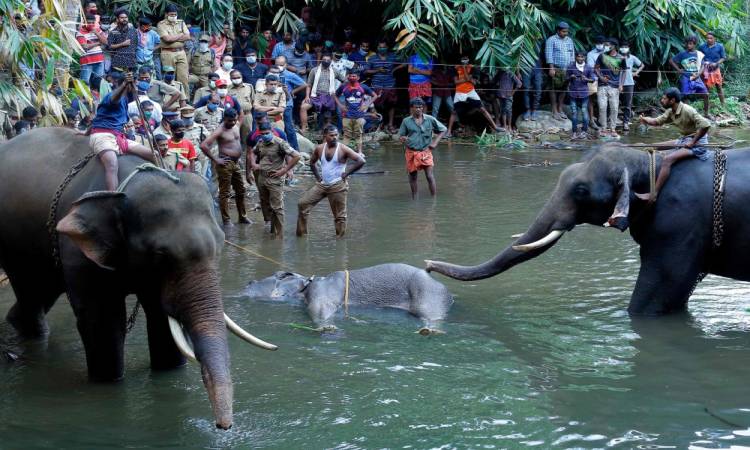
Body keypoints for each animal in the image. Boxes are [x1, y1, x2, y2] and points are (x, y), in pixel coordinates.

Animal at [0, 128, 278, 430]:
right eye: (160, 255)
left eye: (220, 245)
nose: (223, 426)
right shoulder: (78, 251)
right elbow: (104, 321)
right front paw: (108, 382)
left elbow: (160, 318)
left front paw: (169, 371)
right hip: (14, 246)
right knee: (30, 290)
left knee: (41, 291)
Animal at [244, 264, 456, 330]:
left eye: (278, 275)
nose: (248, 282)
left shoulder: (321, 292)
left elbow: (320, 309)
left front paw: (327, 328)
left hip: (428, 295)